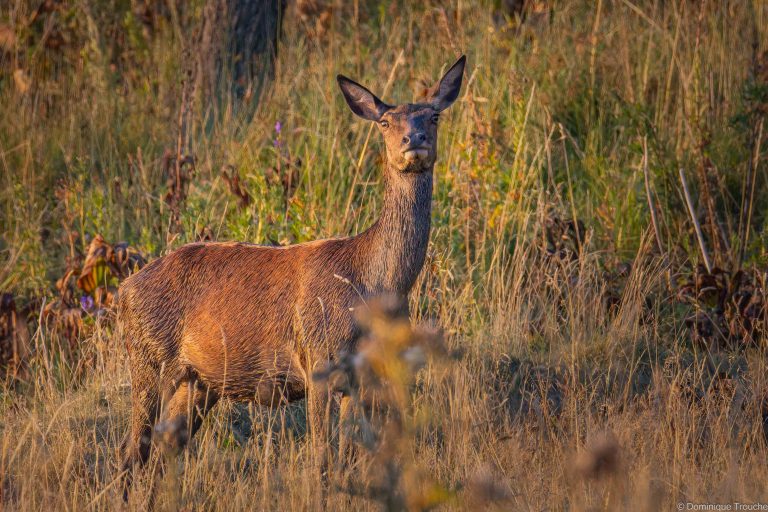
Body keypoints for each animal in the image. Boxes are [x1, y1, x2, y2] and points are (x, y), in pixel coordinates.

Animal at [118, 55, 466, 492]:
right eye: (386, 122)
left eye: (434, 115)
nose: (414, 139)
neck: (373, 284)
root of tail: (123, 290)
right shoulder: (318, 357)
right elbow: (322, 460)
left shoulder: (363, 373)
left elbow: (349, 457)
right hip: (148, 358)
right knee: (132, 451)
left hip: (199, 381)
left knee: (164, 450)